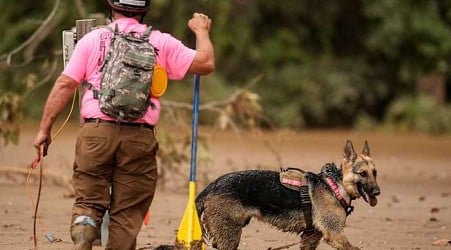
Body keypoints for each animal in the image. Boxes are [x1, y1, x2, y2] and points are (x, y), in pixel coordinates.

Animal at [196, 141, 380, 250]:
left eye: (375, 173)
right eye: (362, 174)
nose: (377, 192)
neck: (335, 185)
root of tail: (212, 186)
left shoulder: (311, 237)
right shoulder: (335, 233)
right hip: (230, 236)